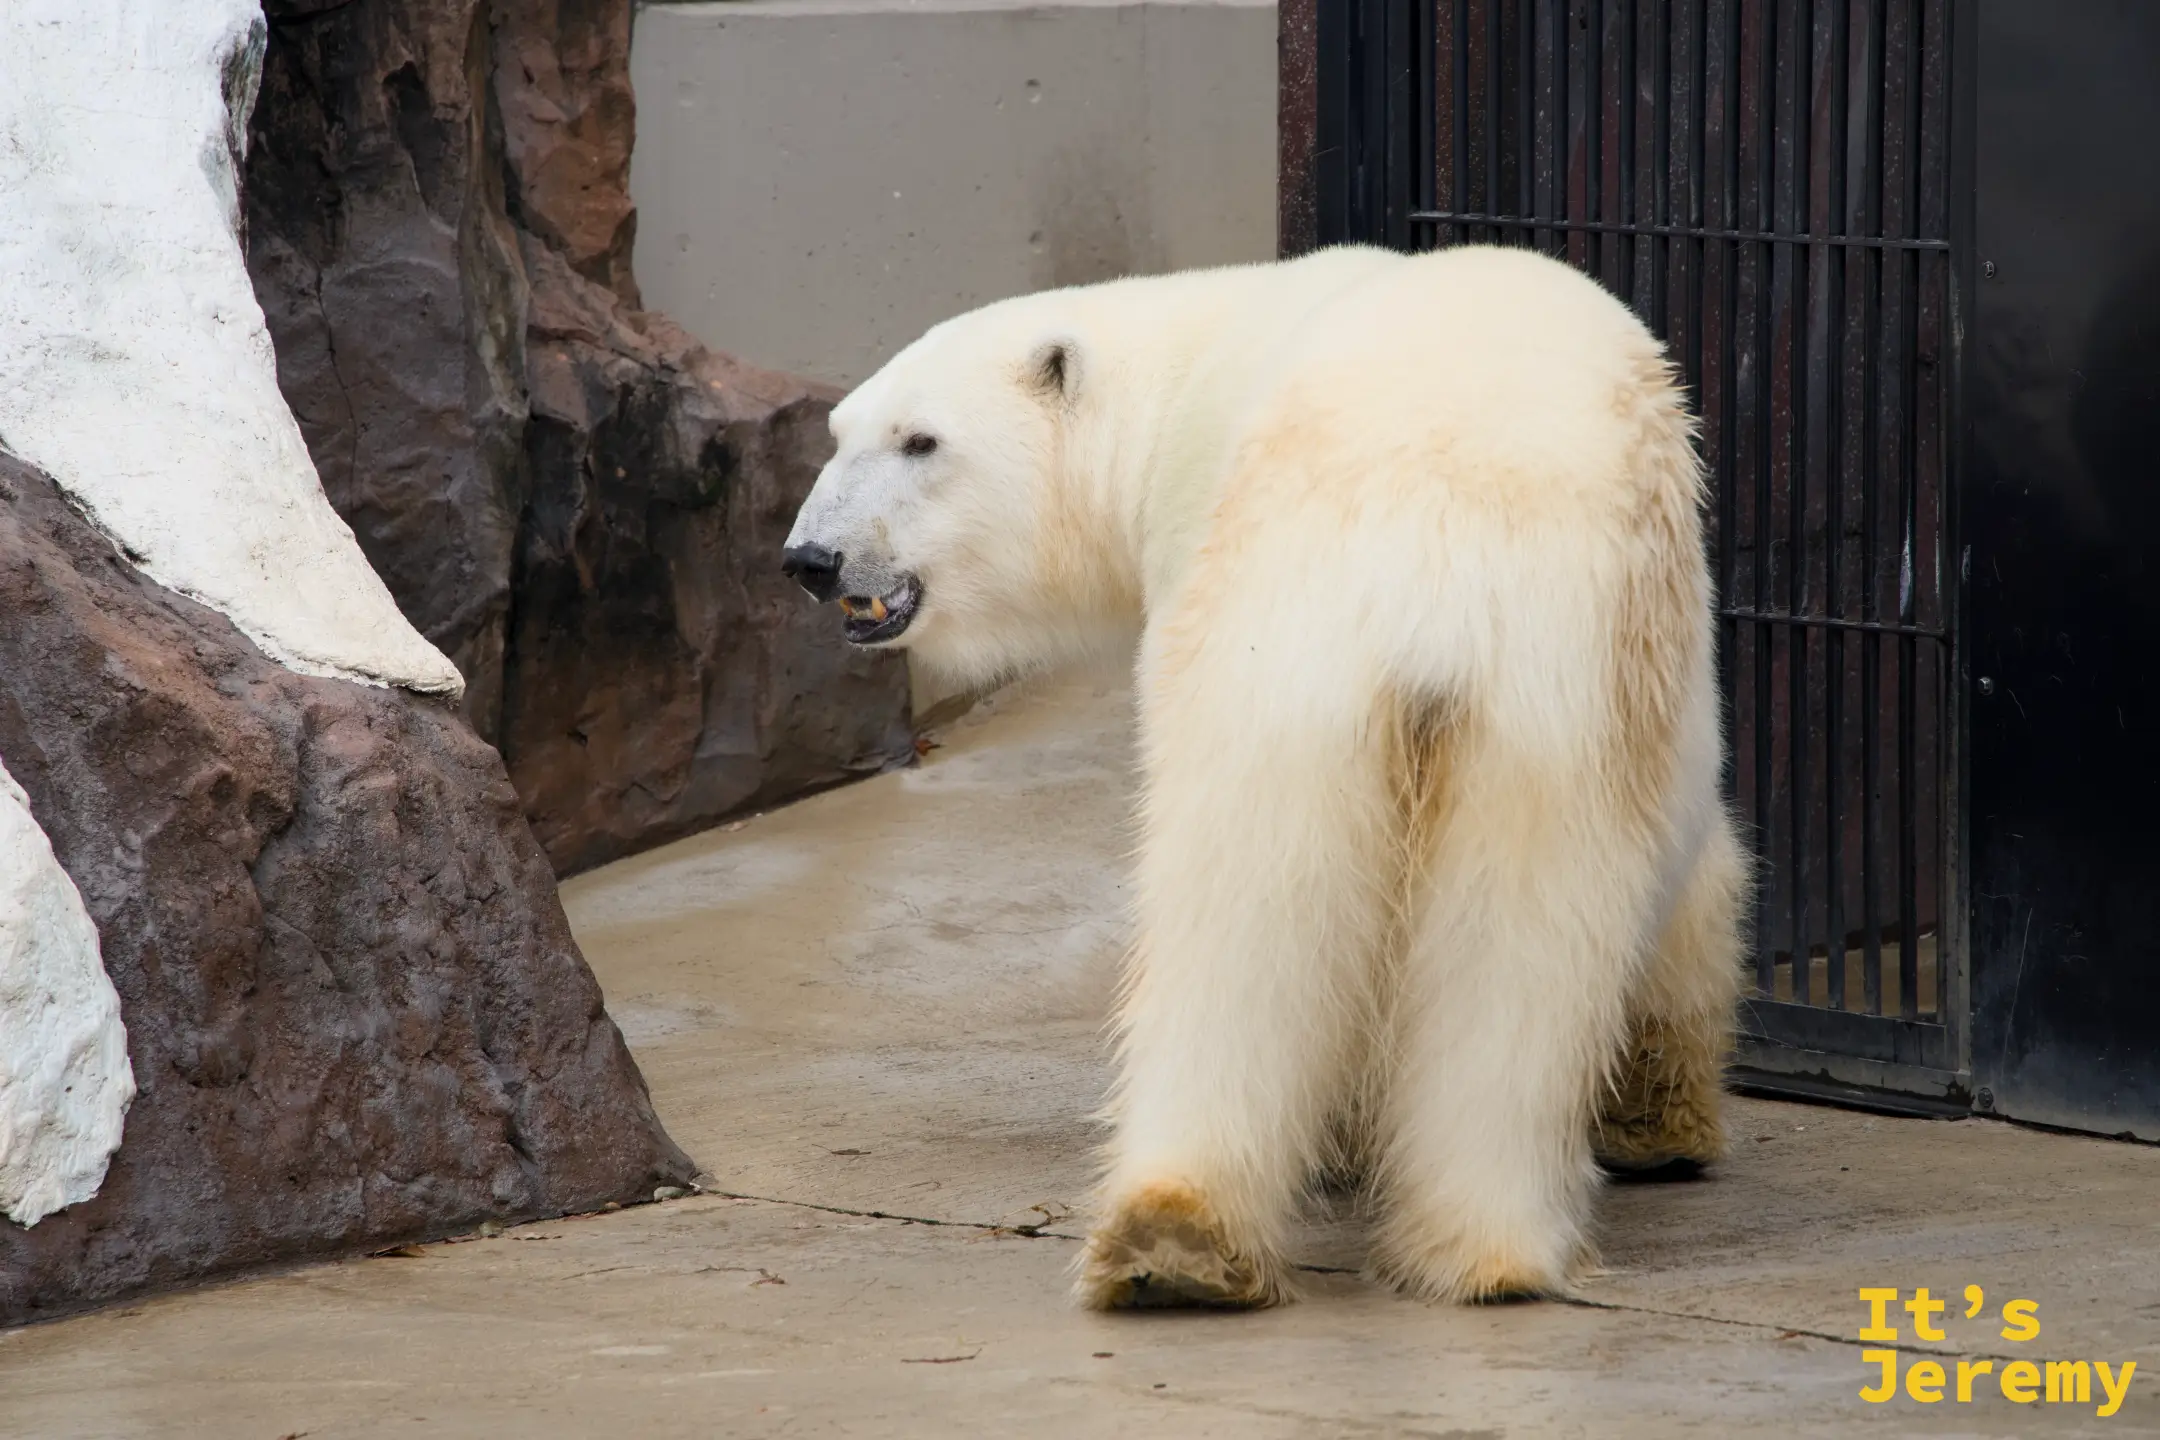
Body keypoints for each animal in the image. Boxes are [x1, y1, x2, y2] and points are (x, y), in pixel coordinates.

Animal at [782, 243, 1746, 1309]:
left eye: (921, 440)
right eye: (839, 434)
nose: (811, 559)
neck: (1176, 379)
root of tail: (1436, 562)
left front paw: (1657, 1119)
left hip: (1306, 642)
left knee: (1253, 920)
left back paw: (1198, 1236)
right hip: (1516, 692)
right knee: (1489, 936)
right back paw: (1426, 1248)